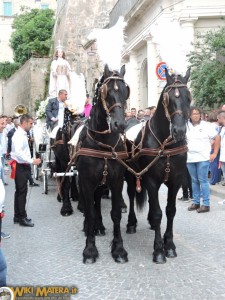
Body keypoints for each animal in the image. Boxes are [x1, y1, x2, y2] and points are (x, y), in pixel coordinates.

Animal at [75, 64, 129, 264]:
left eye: (125, 91)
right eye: (107, 92)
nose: (119, 124)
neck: (103, 143)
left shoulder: (116, 181)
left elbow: (115, 214)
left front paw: (118, 248)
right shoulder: (86, 182)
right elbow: (89, 212)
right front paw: (90, 249)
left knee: (97, 201)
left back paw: (99, 226)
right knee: (89, 205)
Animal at [125, 68, 191, 262]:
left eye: (188, 97)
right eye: (168, 99)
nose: (179, 131)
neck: (164, 144)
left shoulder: (176, 181)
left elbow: (170, 211)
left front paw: (169, 244)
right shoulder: (151, 180)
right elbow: (157, 213)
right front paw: (159, 249)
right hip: (130, 174)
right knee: (131, 194)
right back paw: (131, 223)